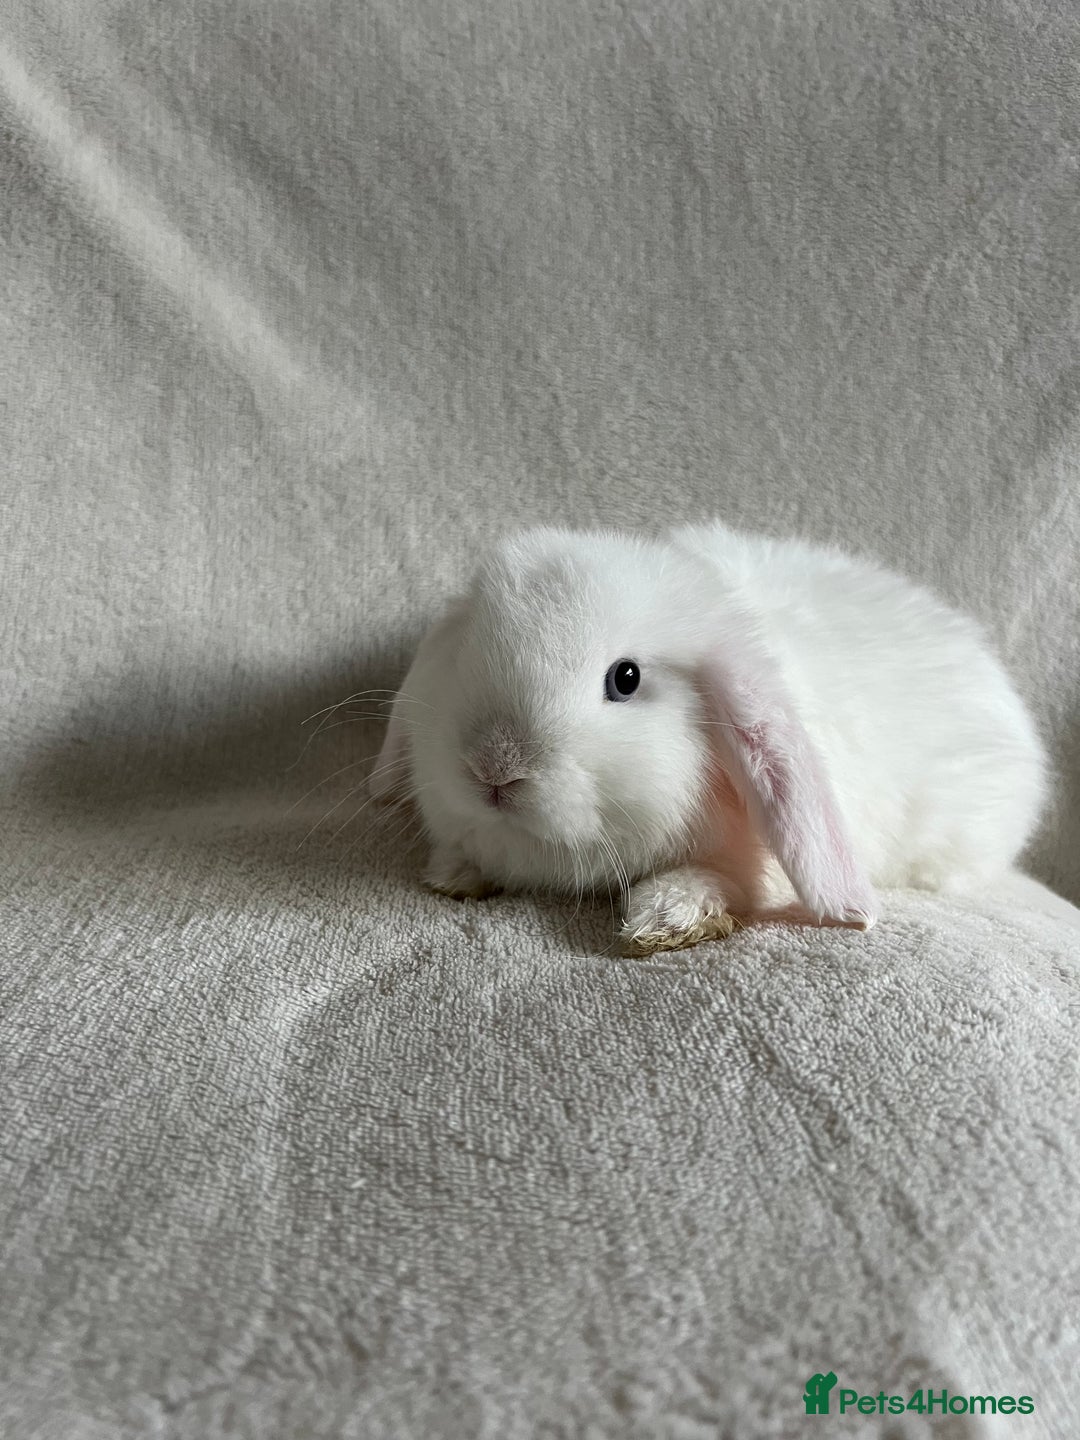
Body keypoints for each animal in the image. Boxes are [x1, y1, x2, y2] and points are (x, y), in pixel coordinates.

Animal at [370, 522, 1048, 955]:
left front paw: (667, 916)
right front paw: (455, 872)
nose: (493, 768)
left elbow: (726, 883)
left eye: (625, 679)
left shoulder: (755, 865)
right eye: (464, 654)